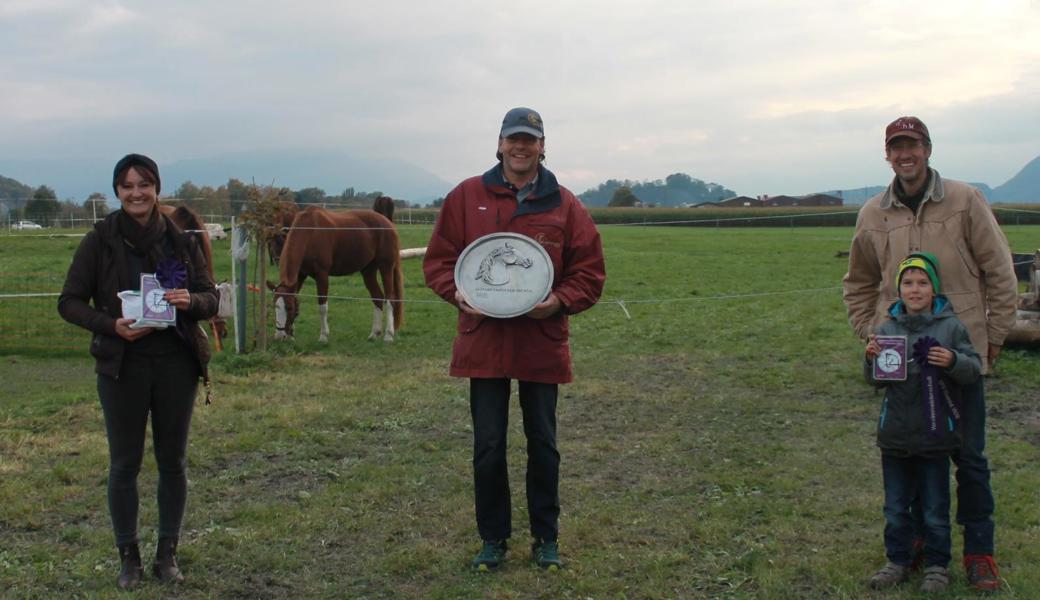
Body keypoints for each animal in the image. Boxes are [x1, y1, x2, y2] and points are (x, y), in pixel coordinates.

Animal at [268, 206, 401, 341]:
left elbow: (322, 307)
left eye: (289, 307)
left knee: (390, 299)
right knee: (377, 297)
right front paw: (291, 335)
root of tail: (388, 223)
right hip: (368, 271)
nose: (279, 336)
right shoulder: (300, 274)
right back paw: (374, 334)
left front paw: (323, 336)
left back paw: (388, 335)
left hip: (386, 267)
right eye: (274, 306)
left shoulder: (322, 276)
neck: (310, 233)